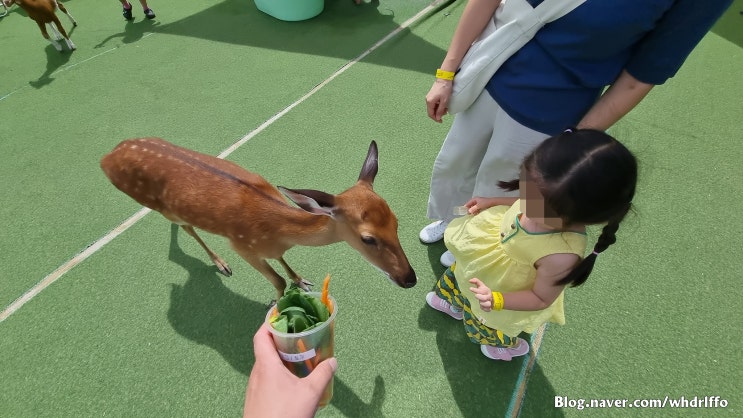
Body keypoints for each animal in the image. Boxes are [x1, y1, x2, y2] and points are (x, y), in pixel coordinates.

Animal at [100, 138, 417, 301]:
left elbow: (282, 261)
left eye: (396, 221)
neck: (276, 228)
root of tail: (107, 156)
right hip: (159, 206)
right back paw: (221, 264)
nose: (410, 279)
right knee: (187, 227)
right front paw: (276, 303)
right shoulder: (243, 246)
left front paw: (302, 281)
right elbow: (277, 281)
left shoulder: (270, 247)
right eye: (368, 238)